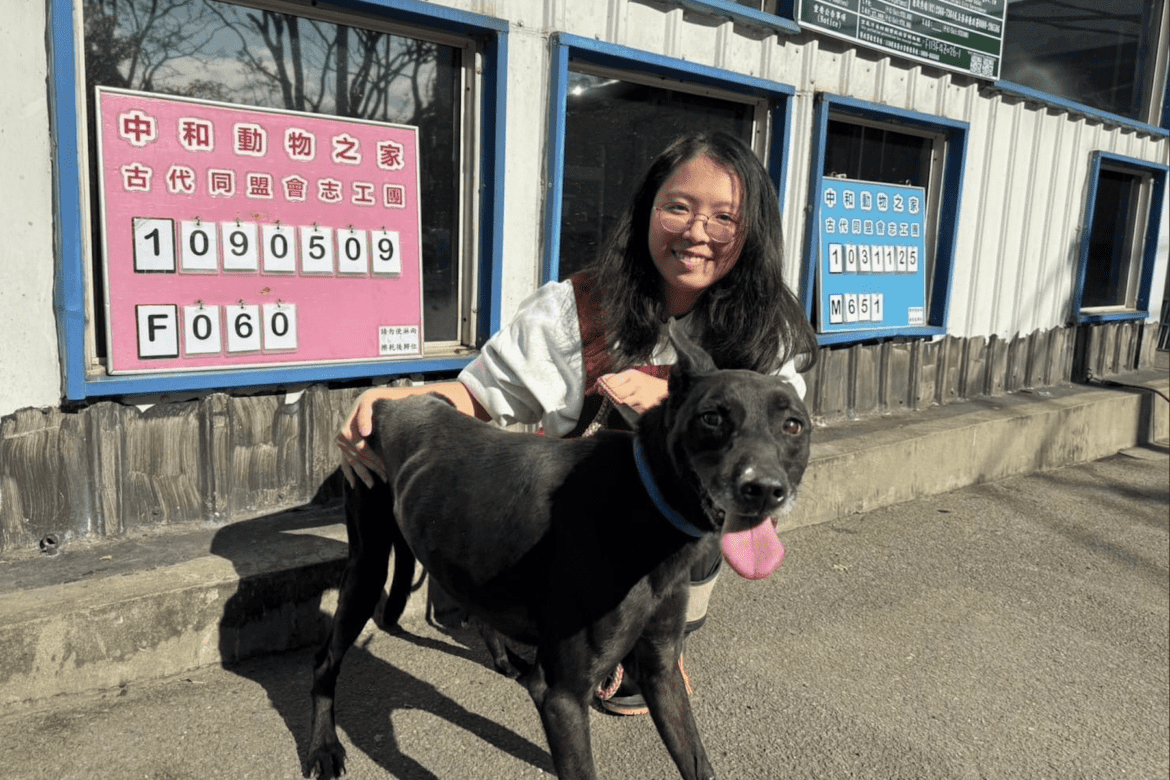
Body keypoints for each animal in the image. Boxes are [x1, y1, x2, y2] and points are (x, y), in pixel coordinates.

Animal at [306, 320, 809, 776]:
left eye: (793, 425)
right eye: (712, 417)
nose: (763, 490)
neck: (641, 504)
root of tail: (387, 401)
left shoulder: (662, 670)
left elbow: (696, 760)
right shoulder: (562, 697)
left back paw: (505, 658)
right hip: (367, 564)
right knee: (324, 662)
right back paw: (323, 747)